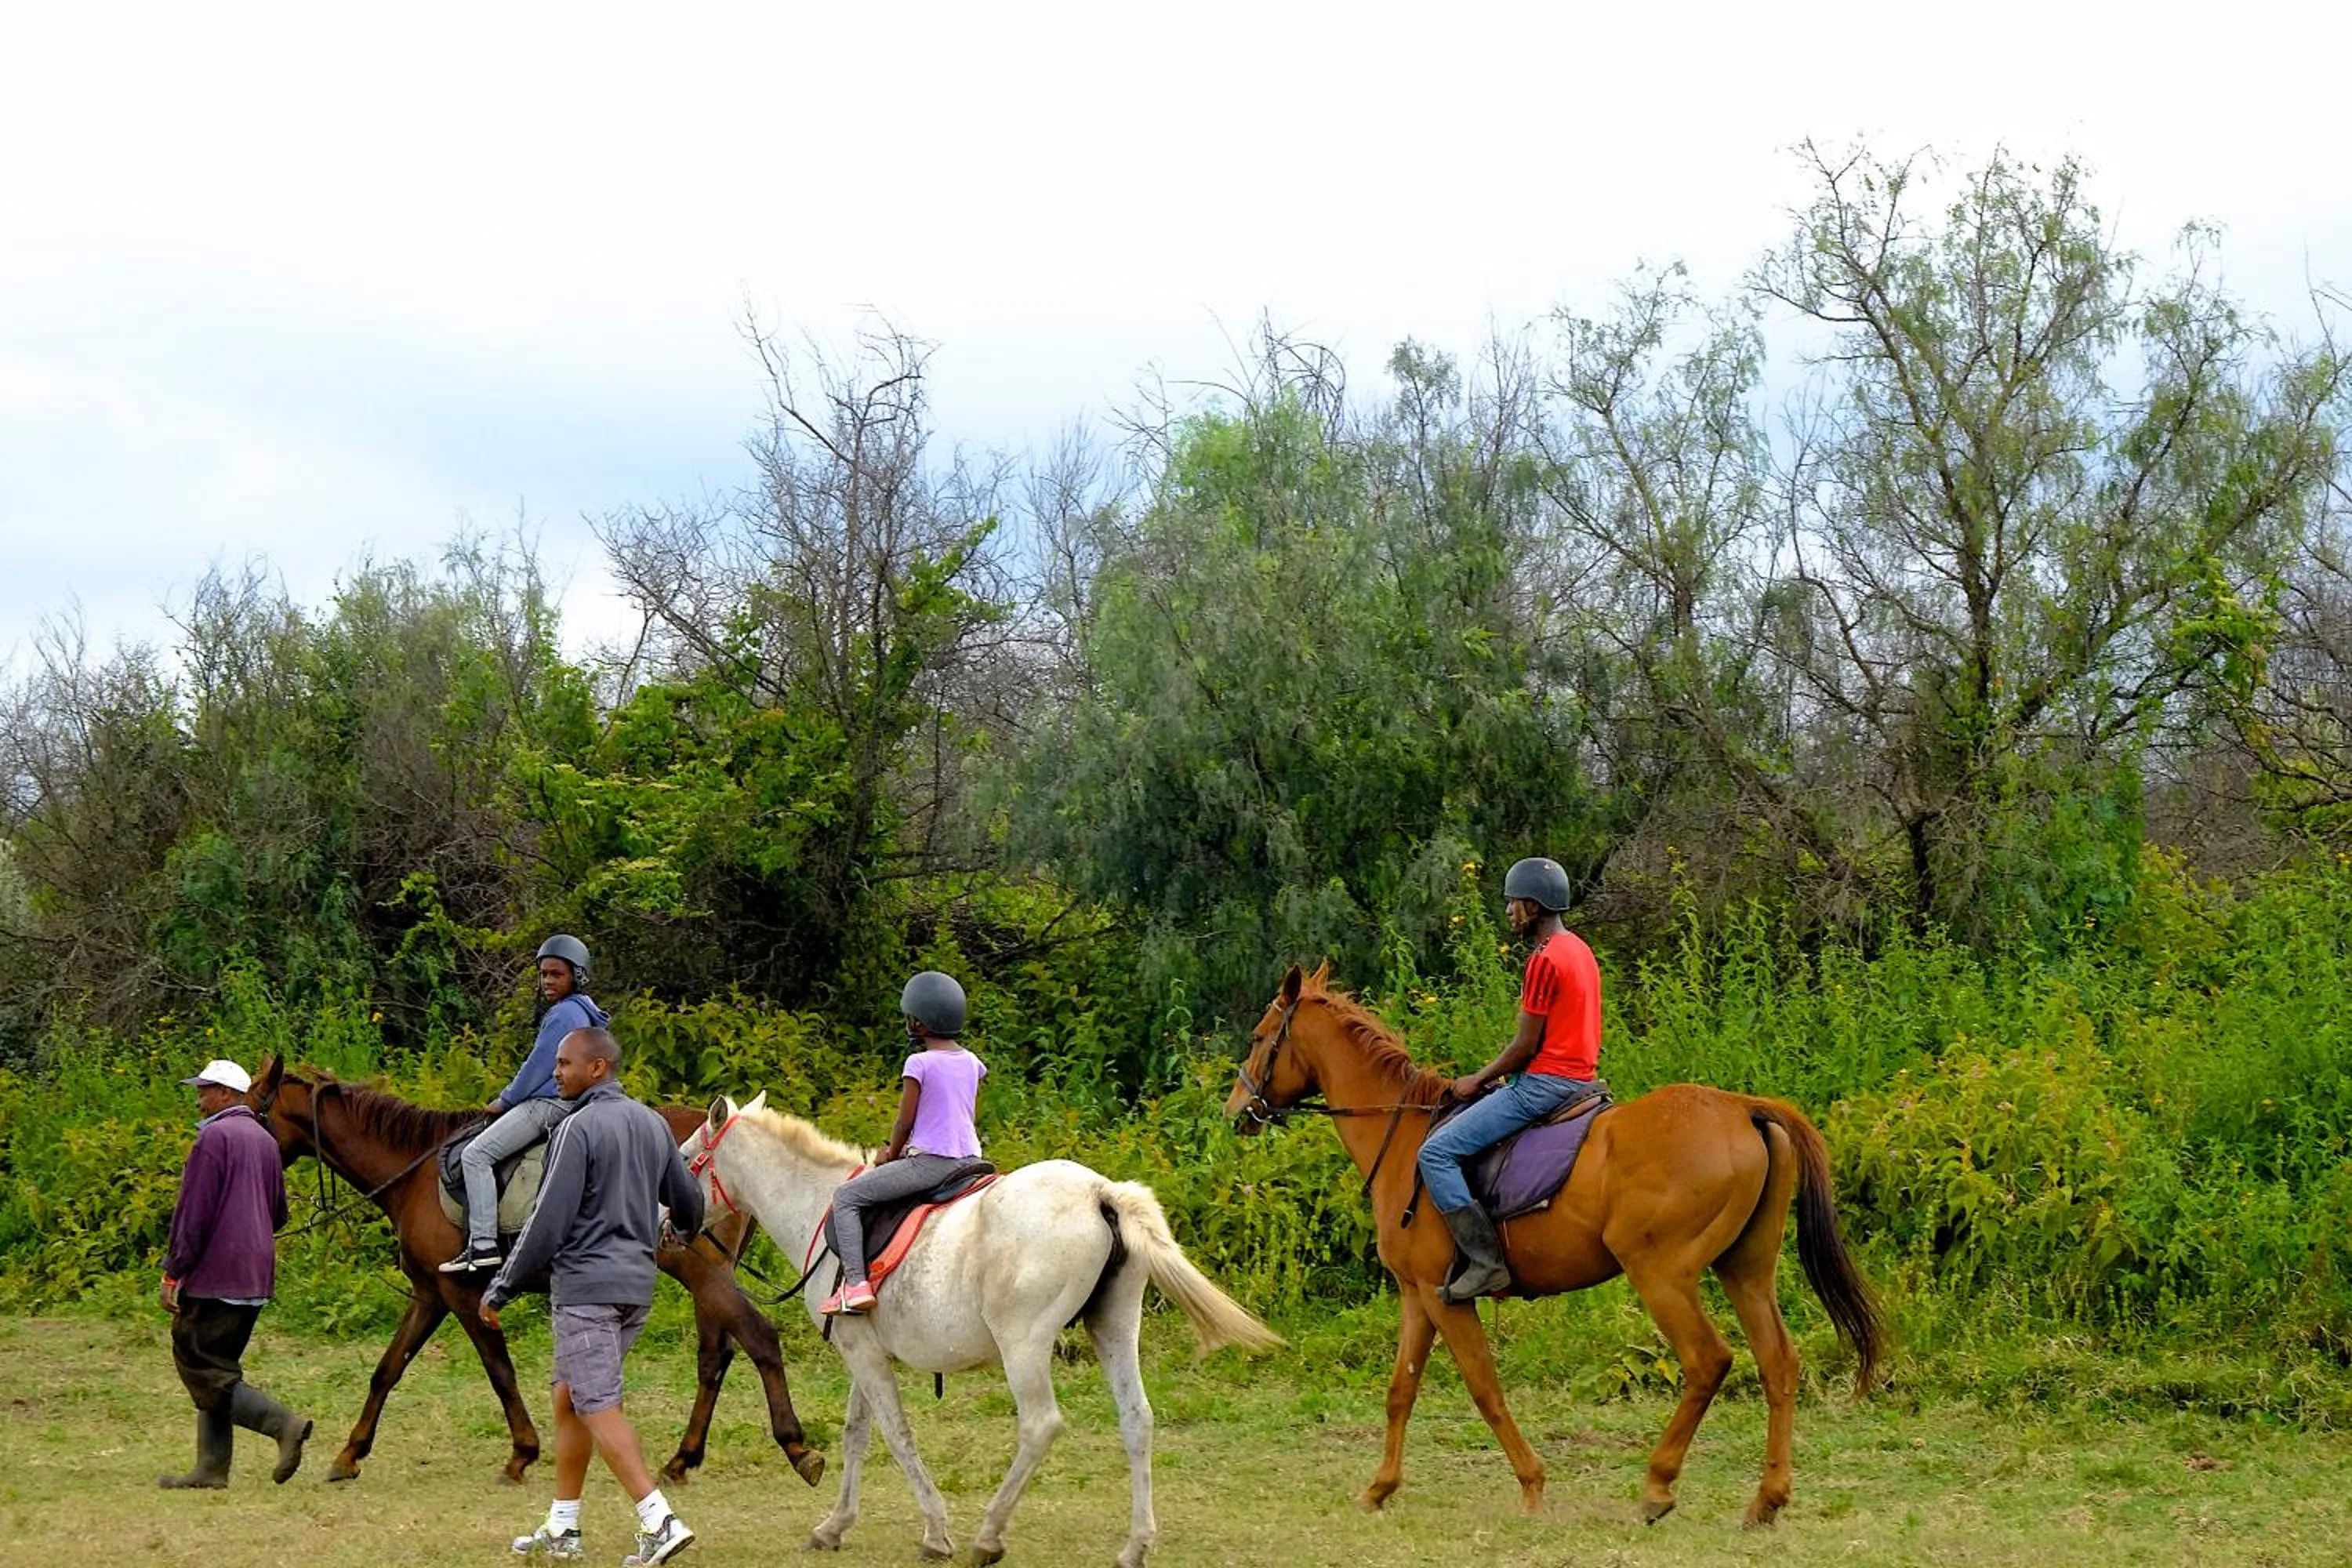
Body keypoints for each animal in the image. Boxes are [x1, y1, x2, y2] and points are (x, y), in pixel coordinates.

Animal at [246, 1056, 827, 1489]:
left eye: (249, 1107)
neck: (414, 1171)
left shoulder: (461, 1293)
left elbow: (499, 1371)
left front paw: (522, 1454)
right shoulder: (429, 1294)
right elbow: (387, 1369)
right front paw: (349, 1454)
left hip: (700, 1272)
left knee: (756, 1337)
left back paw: (797, 1447)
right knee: (715, 1358)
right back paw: (683, 1459)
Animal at [682, 1092, 1283, 1568]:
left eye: (686, 1158)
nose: (669, 1221)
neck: (820, 1208)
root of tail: (1100, 1193)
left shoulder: (864, 1355)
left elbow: (897, 1435)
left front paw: (936, 1532)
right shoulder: (862, 1349)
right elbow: (858, 1435)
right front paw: (834, 1526)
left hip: (1024, 1346)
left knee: (1040, 1426)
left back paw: (989, 1536)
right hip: (1114, 1328)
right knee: (1137, 1420)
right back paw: (1135, 1545)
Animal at [1223, 963, 1882, 1527]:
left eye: (1259, 1037)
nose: (1237, 1112)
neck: (1406, 1135)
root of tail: (1745, 1110)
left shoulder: (1444, 1296)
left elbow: (1484, 1389)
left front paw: (1533, 1485)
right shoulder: (1418, 1295)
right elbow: (1399, 1391)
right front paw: (1379, 1489)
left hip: (1661, 1274)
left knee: (1707, 1361)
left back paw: (1657, 1487)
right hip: (1744, 1269)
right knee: (1778, 1362)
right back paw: (1767, 1500)